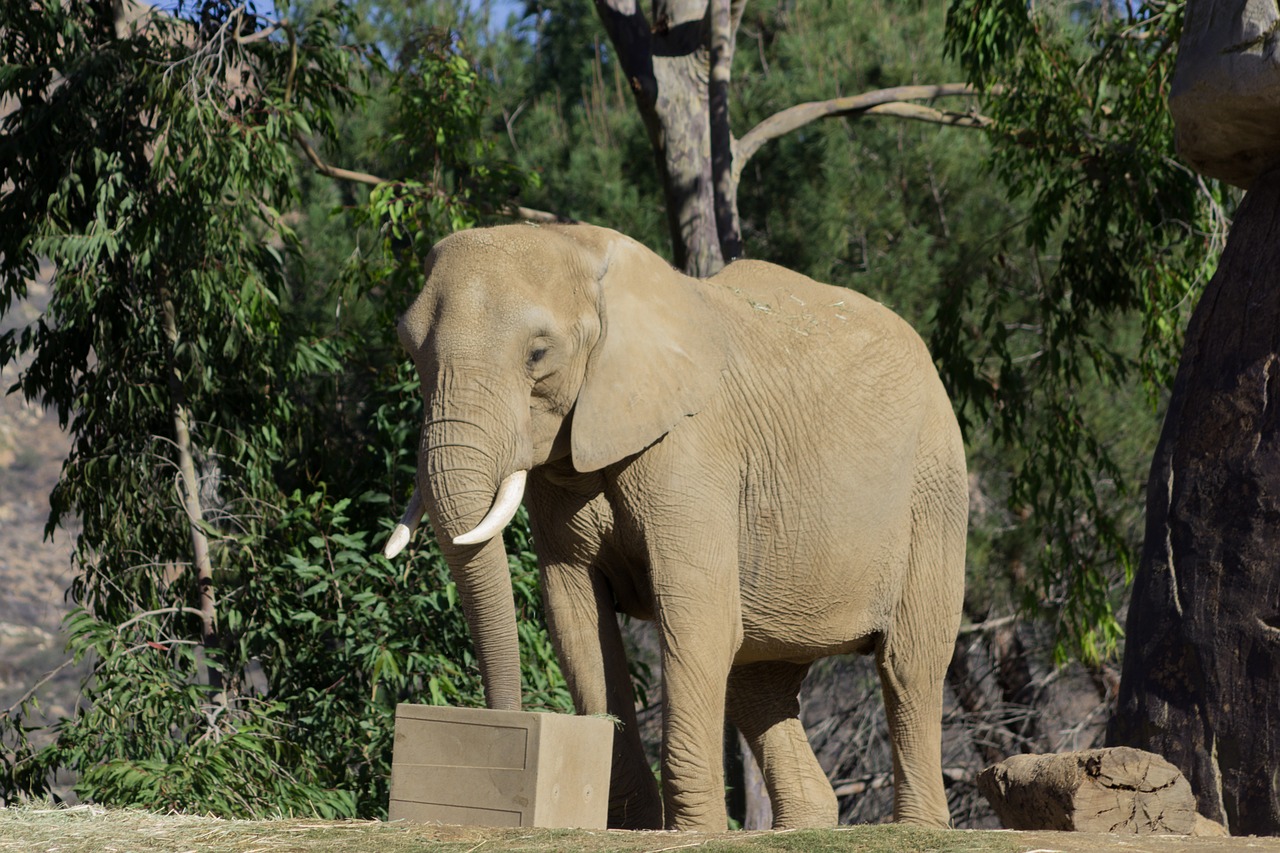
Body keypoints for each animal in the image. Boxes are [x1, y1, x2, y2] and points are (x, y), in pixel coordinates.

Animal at [381, 220, 967, 829]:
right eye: (409, 349)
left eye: (538, 353)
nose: (505, 726)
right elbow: (577, 620)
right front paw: (633, 825)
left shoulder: (694, 447)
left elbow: (695, 616)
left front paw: (690, 831)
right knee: (758, 684)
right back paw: (804, 824)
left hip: (934, 488)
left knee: (909, 664)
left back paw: (917, 827)